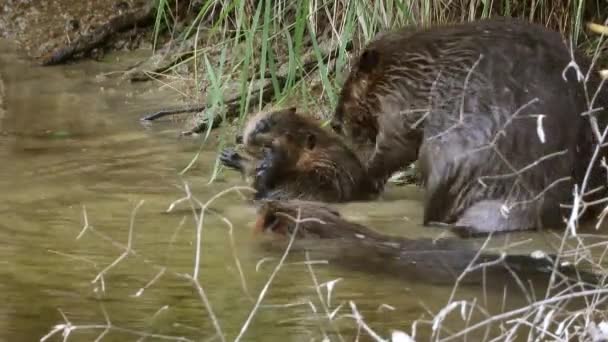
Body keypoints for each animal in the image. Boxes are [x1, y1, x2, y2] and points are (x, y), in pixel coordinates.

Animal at [330, 16, 608, 235]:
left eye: (349, 86)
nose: (334, 123)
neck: (408, 65)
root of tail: (525, 201)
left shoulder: (398, 100)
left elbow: (395, 144)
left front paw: (367, 173)